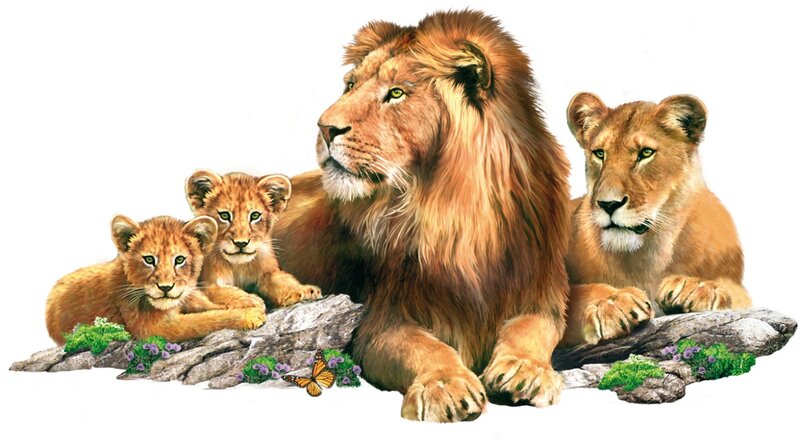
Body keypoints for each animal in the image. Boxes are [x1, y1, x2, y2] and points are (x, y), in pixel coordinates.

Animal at [45, 215, 267, 344]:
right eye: (149, 259)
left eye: (179, 260)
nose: (165, 287)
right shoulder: (153, 328)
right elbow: (206, 320)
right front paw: (250, 315)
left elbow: (207, 304)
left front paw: (251, 301)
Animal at [185, 170, 322, 308]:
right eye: (224, 215)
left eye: (255, 215)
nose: (241, 243)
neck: (238, 266)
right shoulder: (207, 285)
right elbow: (225, 292)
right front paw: (251, 300)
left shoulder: (268, 273)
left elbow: (283, 280)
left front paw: (304, 290)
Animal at [273, 10, 571, 422]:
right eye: (350, 85)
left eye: (397, 93)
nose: (324, 127)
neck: (456, 216)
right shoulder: (379, 319)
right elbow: (424, 347)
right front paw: (446, 386)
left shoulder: (541, 290)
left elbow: (534, 327)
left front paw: (524, 369)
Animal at [560, 92, 752, 346]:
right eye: (600, 153)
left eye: (645, 153)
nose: (608, 204)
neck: (650, 254)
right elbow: (573, 296)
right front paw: (613, 302)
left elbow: (733, 289)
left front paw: (696, 287)